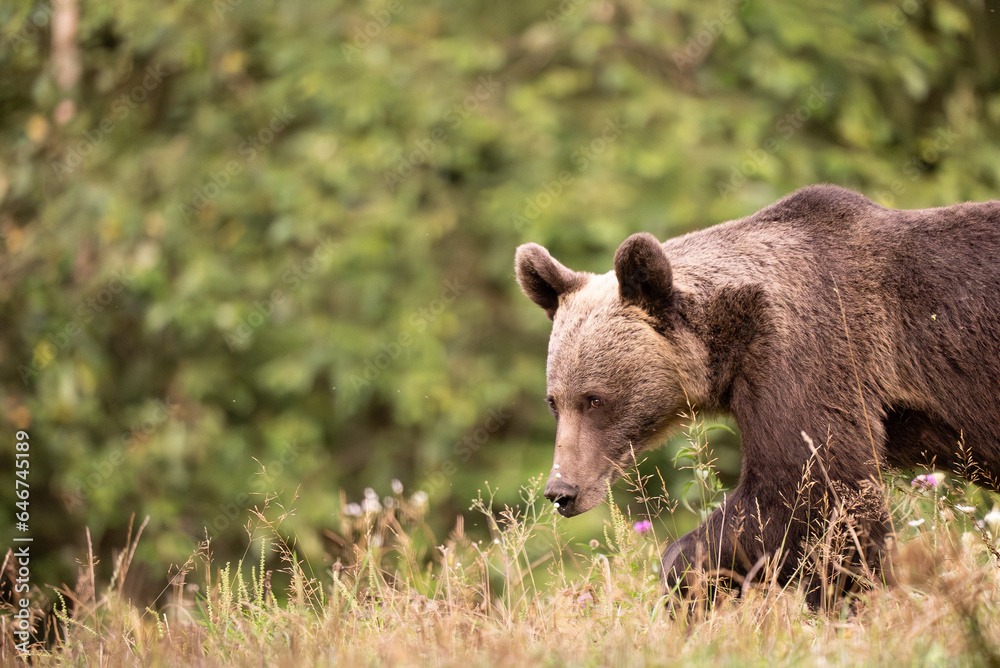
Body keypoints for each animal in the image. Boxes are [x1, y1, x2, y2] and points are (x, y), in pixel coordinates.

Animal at [514, 184, 1000, 604]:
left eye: (595, 399)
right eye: (554, 402)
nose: (561, 490)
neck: (734, 336)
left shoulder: (814, 351)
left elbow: (807, 488)